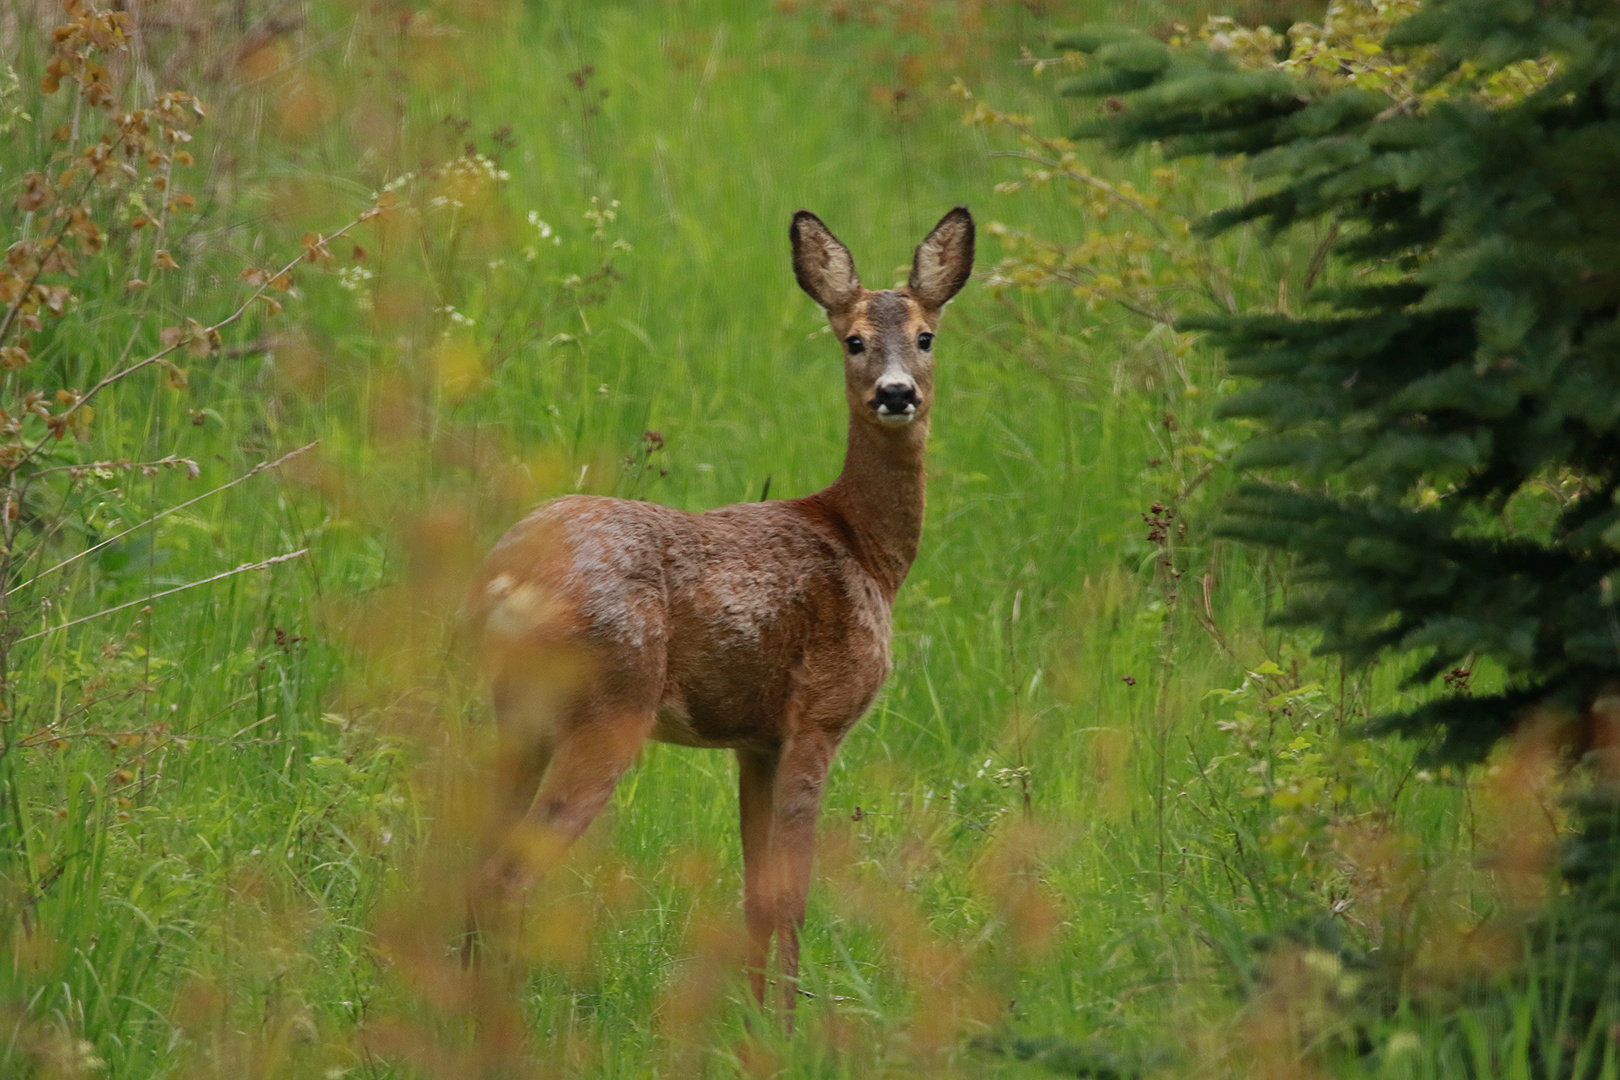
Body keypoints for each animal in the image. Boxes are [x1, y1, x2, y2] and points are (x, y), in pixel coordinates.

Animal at [469, 204, 972, 1016]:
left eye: (927, 335)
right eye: (853, 339)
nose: (897, 393)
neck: (865, 549)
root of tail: (504, 576)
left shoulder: (755, 741)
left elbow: (754, 894)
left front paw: (755, 1018)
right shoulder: (819, 715)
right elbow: (792, 896)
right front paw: (790, 1024)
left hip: (516, 711)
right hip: (610, 703)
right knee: (509, 874)